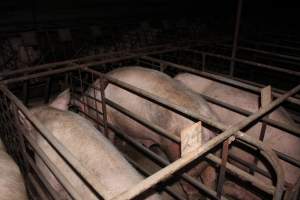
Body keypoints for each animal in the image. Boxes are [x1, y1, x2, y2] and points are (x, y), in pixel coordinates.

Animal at [82, 67, 220, 198]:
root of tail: (208, 130)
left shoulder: (104, 118)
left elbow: (109, 134)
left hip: (179, 153)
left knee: (191, 183)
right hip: (211, 155)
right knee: (211, 177)